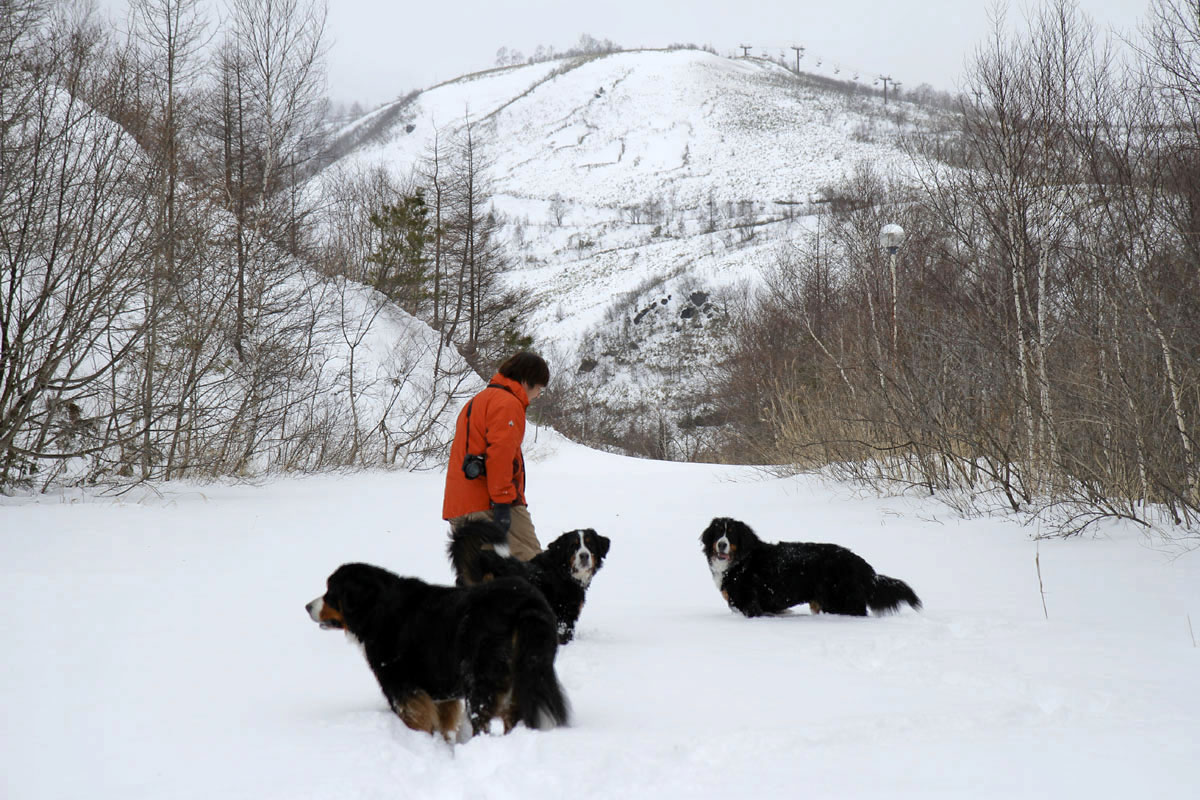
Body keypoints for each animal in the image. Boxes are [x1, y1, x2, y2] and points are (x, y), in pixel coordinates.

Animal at [309, 566, 571, 743]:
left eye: (330, 593)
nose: (307, 606)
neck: (377, 609)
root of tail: (525, 602)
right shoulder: (442, 694)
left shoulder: (403, 691)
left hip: (480, 681)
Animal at [700, 520, 921, 618]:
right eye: (717, 533)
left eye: (732, 534)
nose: (721, 544)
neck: (741, 561)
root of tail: (859, 562)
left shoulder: (750, 604)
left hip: (840, 600)